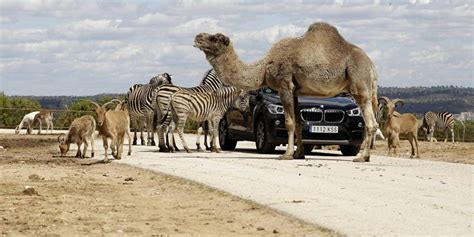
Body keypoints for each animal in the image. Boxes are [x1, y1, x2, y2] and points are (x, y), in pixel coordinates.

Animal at [193, 22, 378, 162]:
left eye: (214, 38)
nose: (197, 37)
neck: (264, 67)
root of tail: (371, 65)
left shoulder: (284, 85)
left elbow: (289, 122)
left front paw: (286, 155)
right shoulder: (295, 91)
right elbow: (298, 123)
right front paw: (299, 154)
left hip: (359, 82)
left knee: (371, 123)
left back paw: (361, 157)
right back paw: (366, 156)